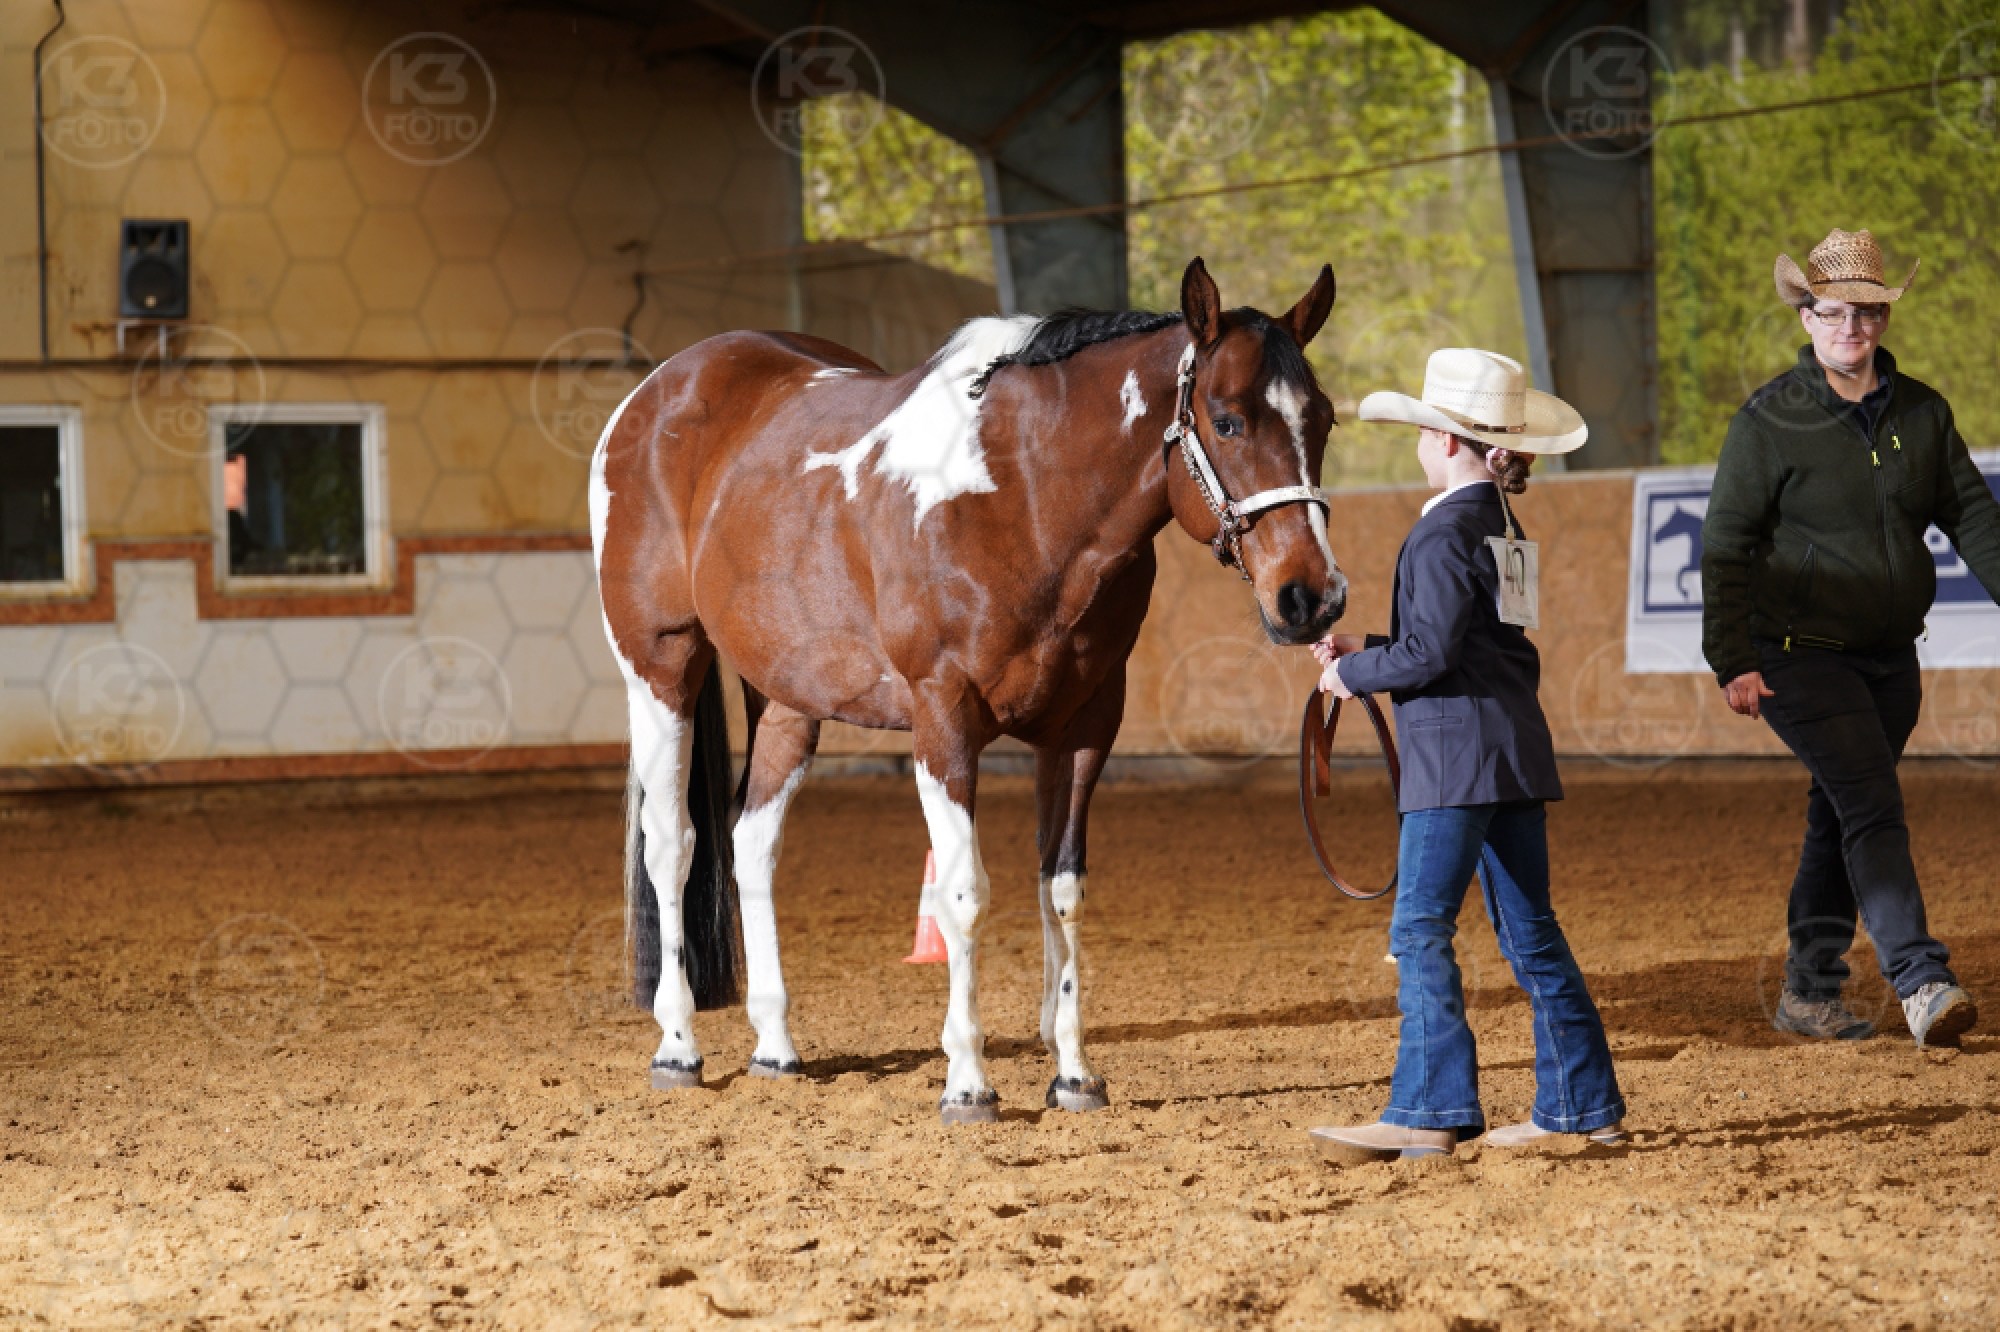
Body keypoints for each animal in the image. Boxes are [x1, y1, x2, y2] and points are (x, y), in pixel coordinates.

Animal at [589, 257, 1348, 1123]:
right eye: (1226, 422)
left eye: (1323, 420)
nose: (1312, 599)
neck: (1022, 496)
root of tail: (658, 392)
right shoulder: (943, 718)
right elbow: (962, 896)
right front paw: (967, 1082)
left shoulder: (1085, 727)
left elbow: (1062, 891)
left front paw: (1074, 1073)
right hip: (660, 670)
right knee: (673, 845)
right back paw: (678, 1045)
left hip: (785, 697)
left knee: (753, 844)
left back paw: (776, 1048)